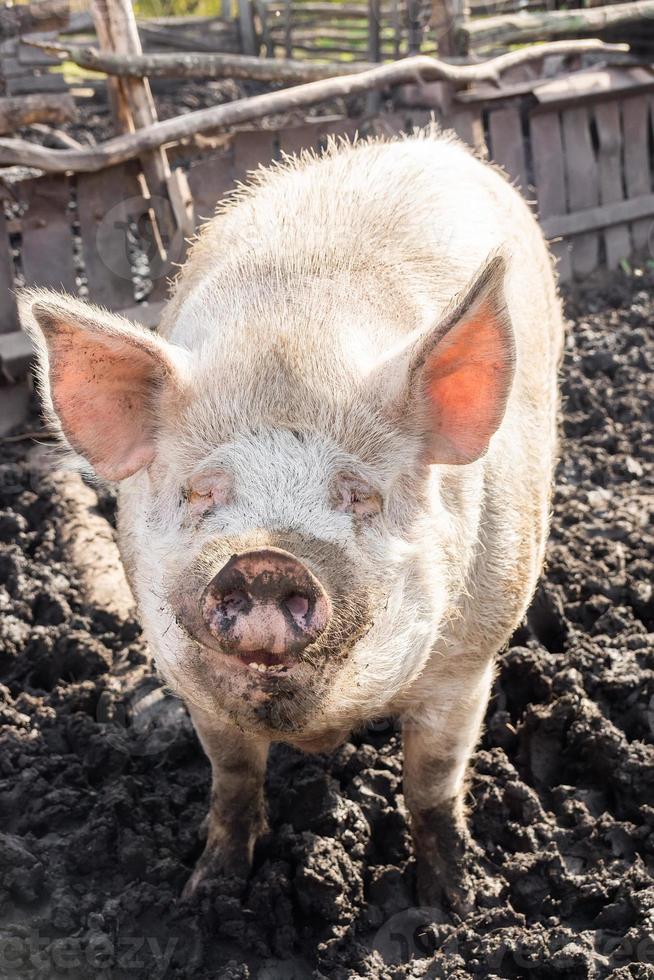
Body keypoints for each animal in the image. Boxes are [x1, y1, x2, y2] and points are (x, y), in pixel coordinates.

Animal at [20, 128, 564, 912]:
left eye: (361, 495)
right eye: (200, 493)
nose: (265, 561)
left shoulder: (468, 660)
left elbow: (432, 784)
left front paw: (453, 907)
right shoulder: (195, 688)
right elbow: (233, 780)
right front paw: (205, 895)